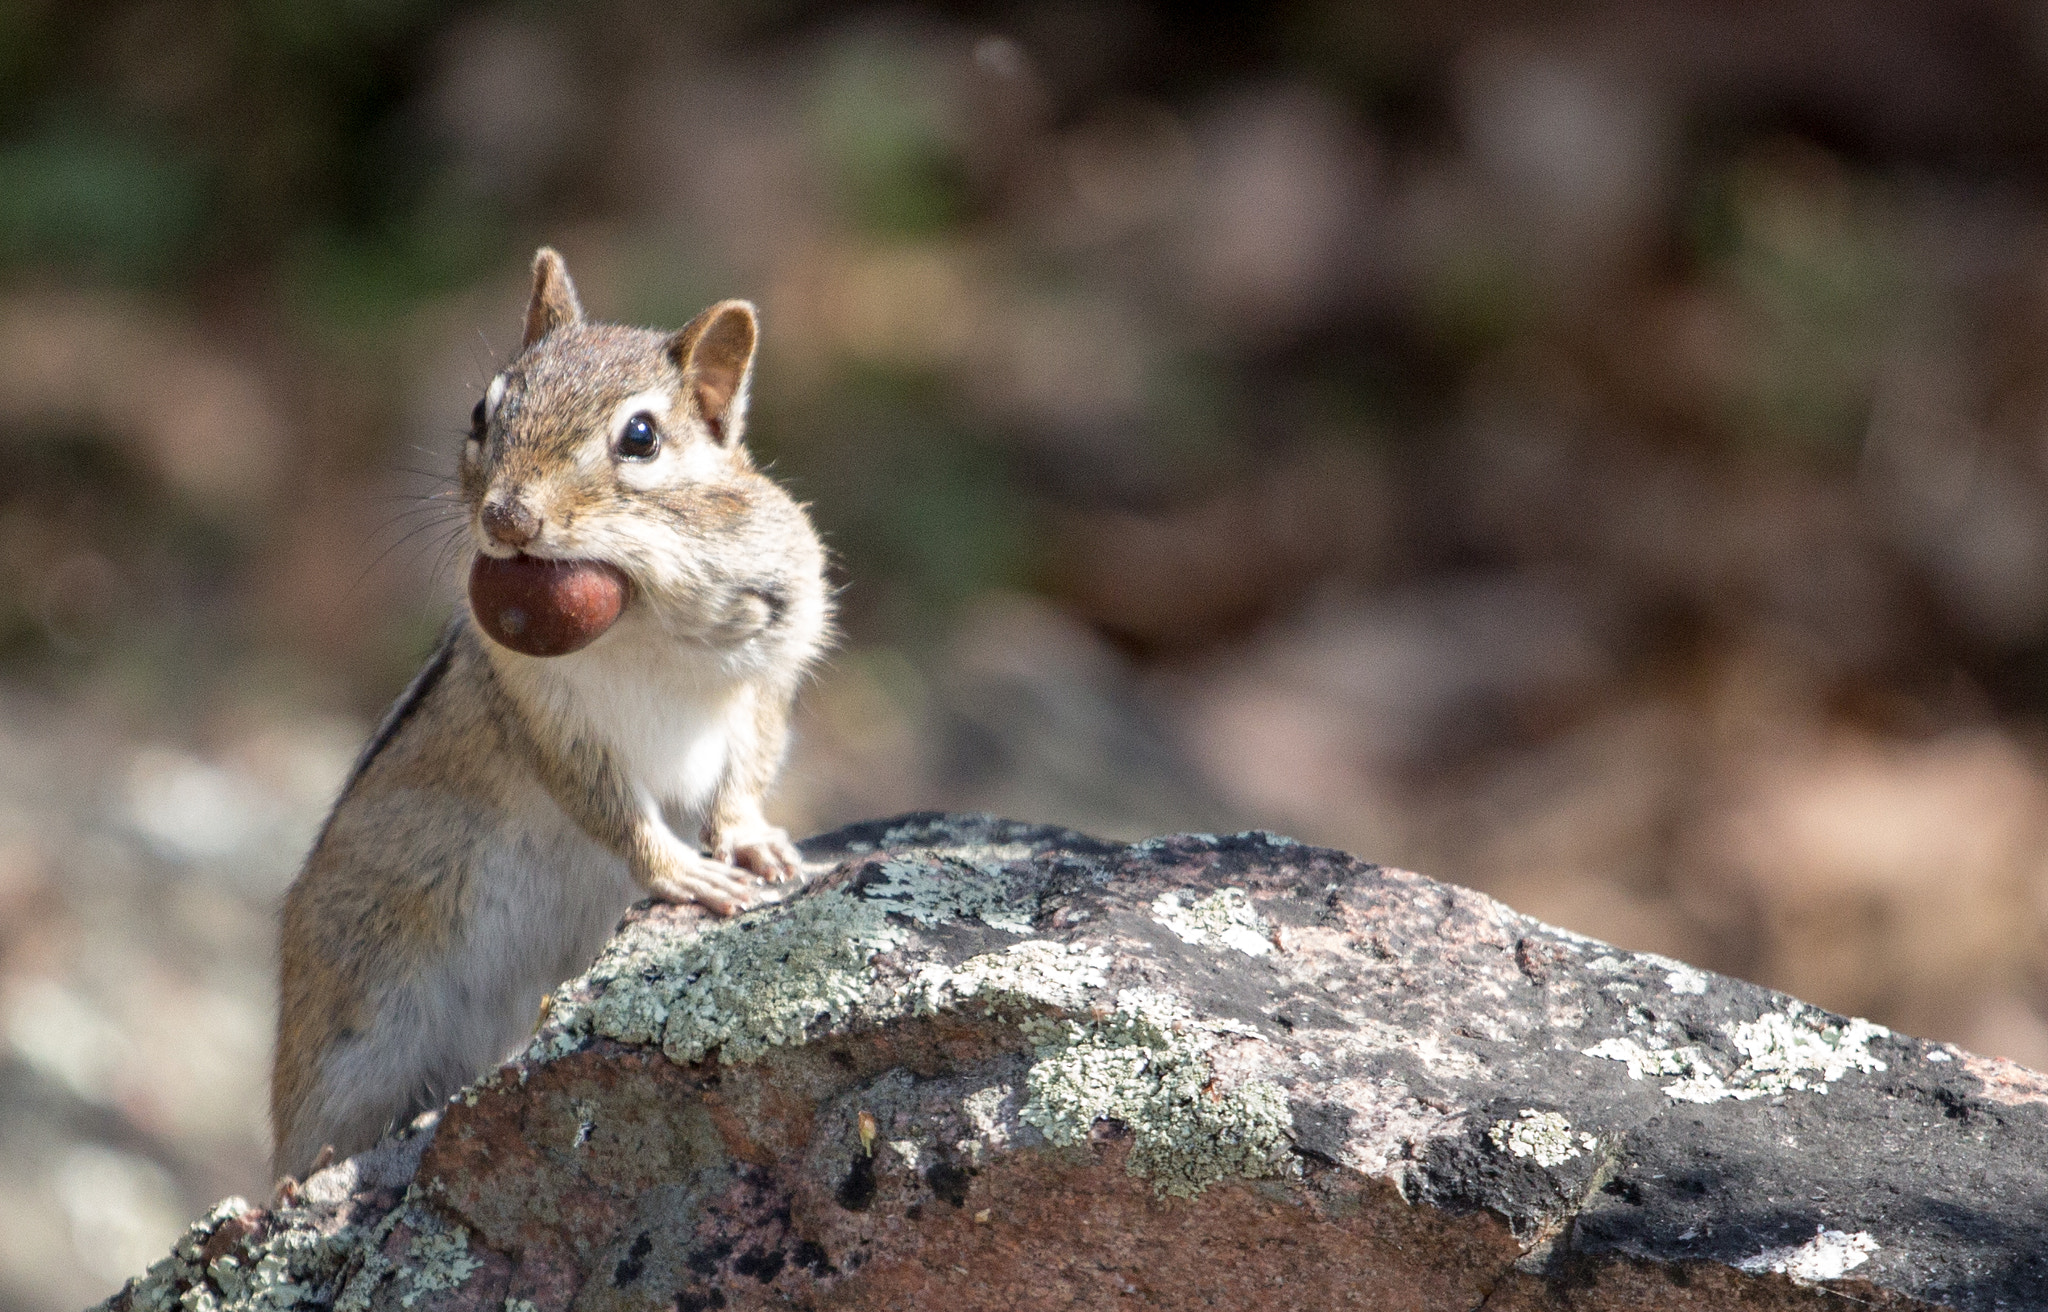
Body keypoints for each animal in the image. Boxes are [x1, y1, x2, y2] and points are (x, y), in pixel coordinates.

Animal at [270, 248, 831, 1180]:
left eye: (640, 438)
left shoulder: (768, 669)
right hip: (355, 1031)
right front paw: (683, 872)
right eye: (481, 410)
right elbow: (607, 805)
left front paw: (752, 843)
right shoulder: (545, 715)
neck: (642, 606)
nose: (507, 517)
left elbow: (747, 767)